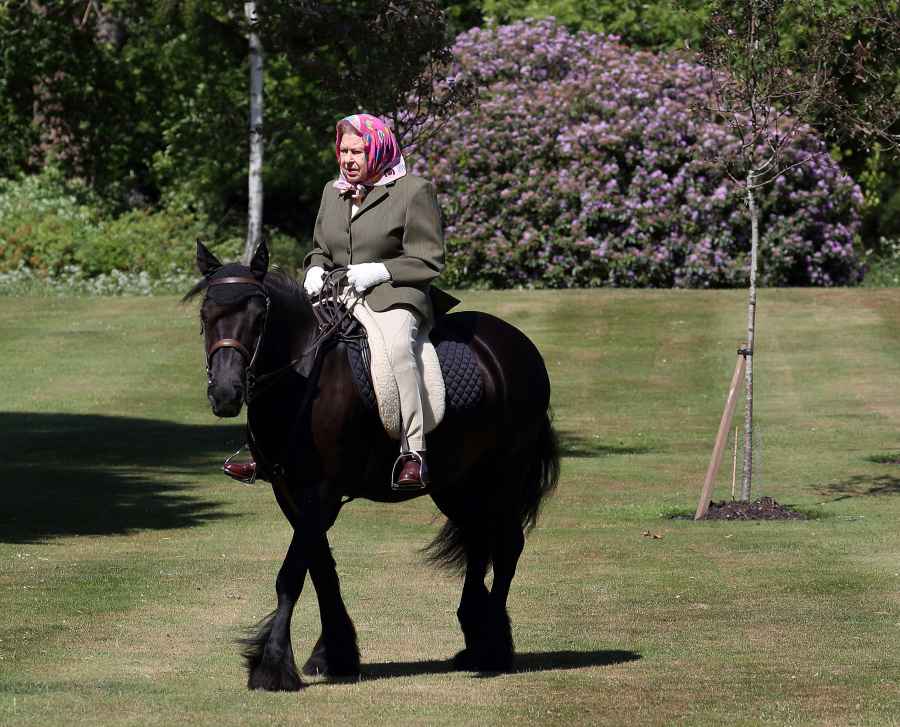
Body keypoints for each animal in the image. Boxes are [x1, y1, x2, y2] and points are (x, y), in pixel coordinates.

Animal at [186, 242, 560, 692]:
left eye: (260, 317)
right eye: (206, 315)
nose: (225, 394)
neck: (303, 377)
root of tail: (517, 345)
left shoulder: (322, 492)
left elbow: (292, 574)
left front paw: (272, 666)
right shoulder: (291, 492)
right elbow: (320, 569)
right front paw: (334, 654)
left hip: (502, 476)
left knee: (506, 547)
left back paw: (492, 649)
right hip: (457, 484)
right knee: (478, 543)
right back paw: (475, 639)